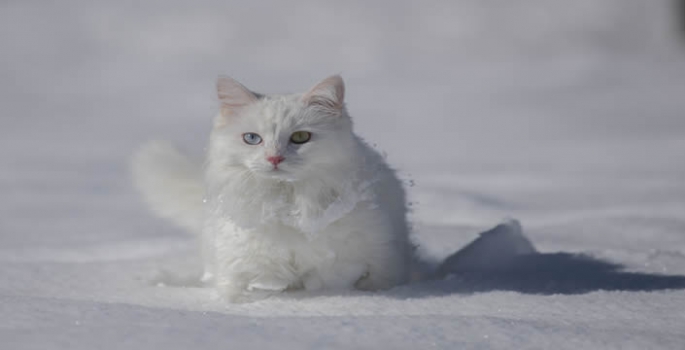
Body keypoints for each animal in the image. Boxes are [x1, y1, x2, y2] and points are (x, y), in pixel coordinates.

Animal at [133, 75, 412, 302]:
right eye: (252, 138)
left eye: (300, 137)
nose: (274, 158)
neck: (288, 204)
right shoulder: (246, 265)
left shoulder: (366, 259)